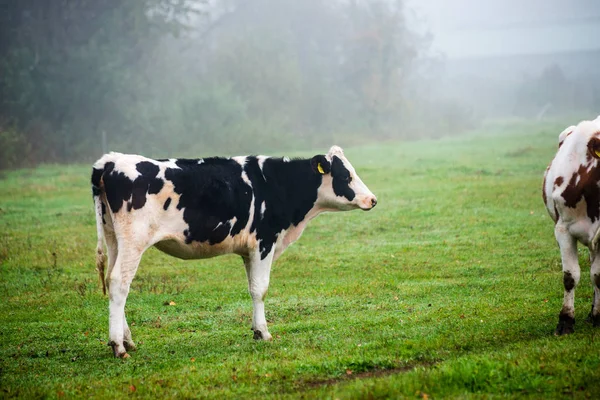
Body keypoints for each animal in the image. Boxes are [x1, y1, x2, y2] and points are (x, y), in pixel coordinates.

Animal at [92, 145, 378, 358]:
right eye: (347, 176)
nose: (373, 199)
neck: (276, 184)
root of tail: (111, 161)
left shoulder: (248, 250)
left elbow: (252, 288)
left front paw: (255, 330)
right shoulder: (264, 242)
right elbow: (260, 289)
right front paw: (264, 333)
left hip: (114, 239)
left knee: (113, 279)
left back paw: (127, 340)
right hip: (133, 240)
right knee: (119, 283)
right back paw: (118, 346)